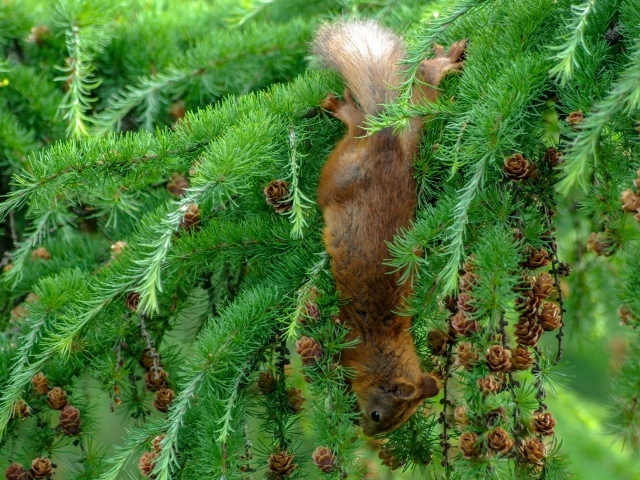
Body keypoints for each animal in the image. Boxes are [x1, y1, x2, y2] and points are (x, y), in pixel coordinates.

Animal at [314, 20, 468, 436]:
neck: (384, 348)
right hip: (337, 174)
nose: (366, 434)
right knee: (361, 126)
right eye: (379, 416)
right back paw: (349, 111)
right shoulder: (353, 346)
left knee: (424, 84)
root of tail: (389, 142)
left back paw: (442, 63)